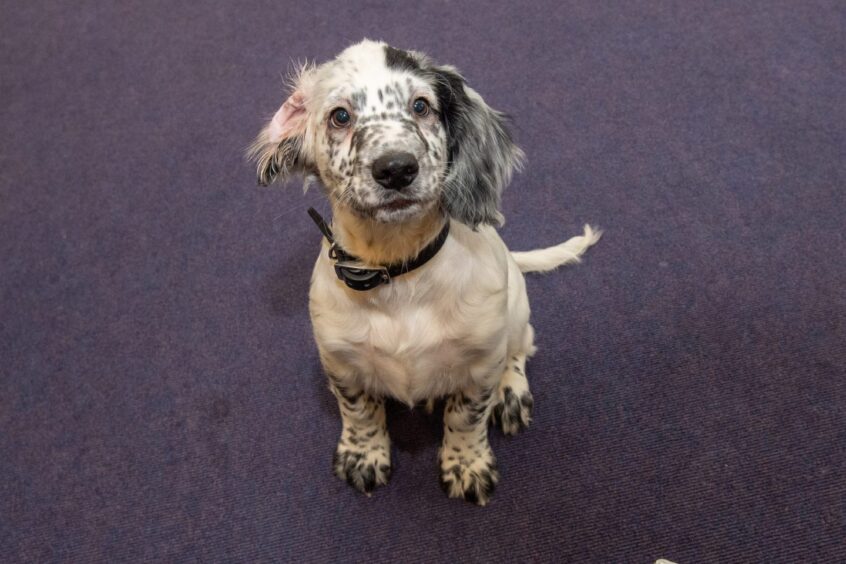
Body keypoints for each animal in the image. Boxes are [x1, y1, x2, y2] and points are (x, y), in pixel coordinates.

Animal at [248, 39, 600, 506]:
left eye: (421, 106)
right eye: (340, 116)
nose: (396, 168)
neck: (399, 273)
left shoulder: (482, 360)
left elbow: (467, 416)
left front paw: (467, 464)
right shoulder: (339, 361)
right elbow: (358, 411)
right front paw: (363, 455)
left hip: (516, 312)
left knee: (522, 347)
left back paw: (511, 393)